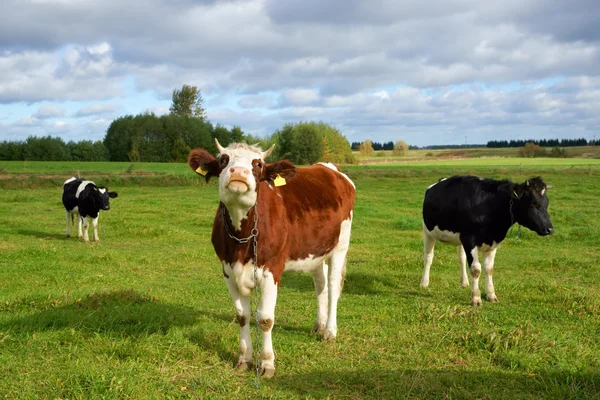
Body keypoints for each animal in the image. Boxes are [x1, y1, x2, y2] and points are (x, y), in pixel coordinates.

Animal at [190, 140, 354, 378]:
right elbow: (242, 316)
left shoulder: (271, 270)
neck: (242, 238)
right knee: (320, 283)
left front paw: (267, 364)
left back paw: (330, 331)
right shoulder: (228, 270)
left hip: (341, 245)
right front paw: (244, 359)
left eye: (257, 163)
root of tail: (329, 167)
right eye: (223, 160)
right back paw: (320, 326)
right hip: (315, 250)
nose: (238, 172)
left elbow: (265, 319)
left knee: (333, 286)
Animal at [422, 176, 552, 306]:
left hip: (459, 240)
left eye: (547, 203)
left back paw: (464, 282)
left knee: (461, 258)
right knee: (428, 257)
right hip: (427, 233)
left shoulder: (492, 242)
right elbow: (475, 269)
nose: (550, 229)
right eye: (533, 203)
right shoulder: (469, 239)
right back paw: (424, 283)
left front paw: (491, 295)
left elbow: (489, 269)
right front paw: (476, 298)